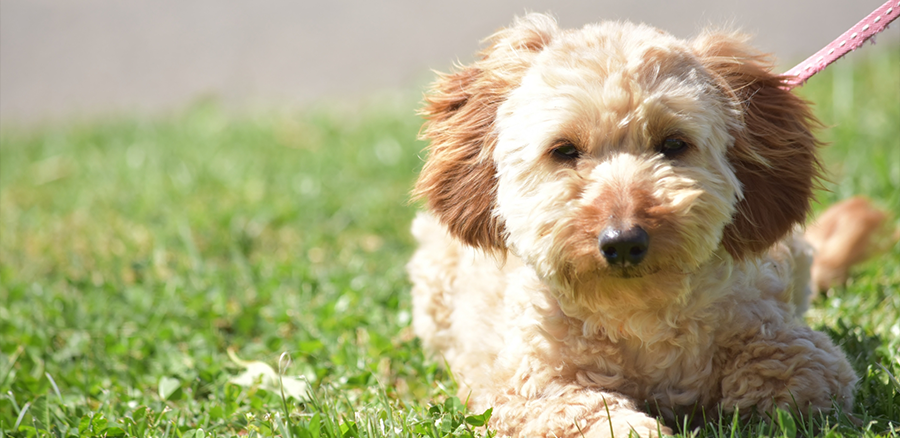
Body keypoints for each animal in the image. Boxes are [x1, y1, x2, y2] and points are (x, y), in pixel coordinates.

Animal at [406, 13, 856, 438]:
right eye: (564, 150)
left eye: (673, 144)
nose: (622, 241)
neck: (635, 314)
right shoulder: (526, 389)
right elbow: (582, 412)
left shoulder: (805, 355)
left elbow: (785, 380)